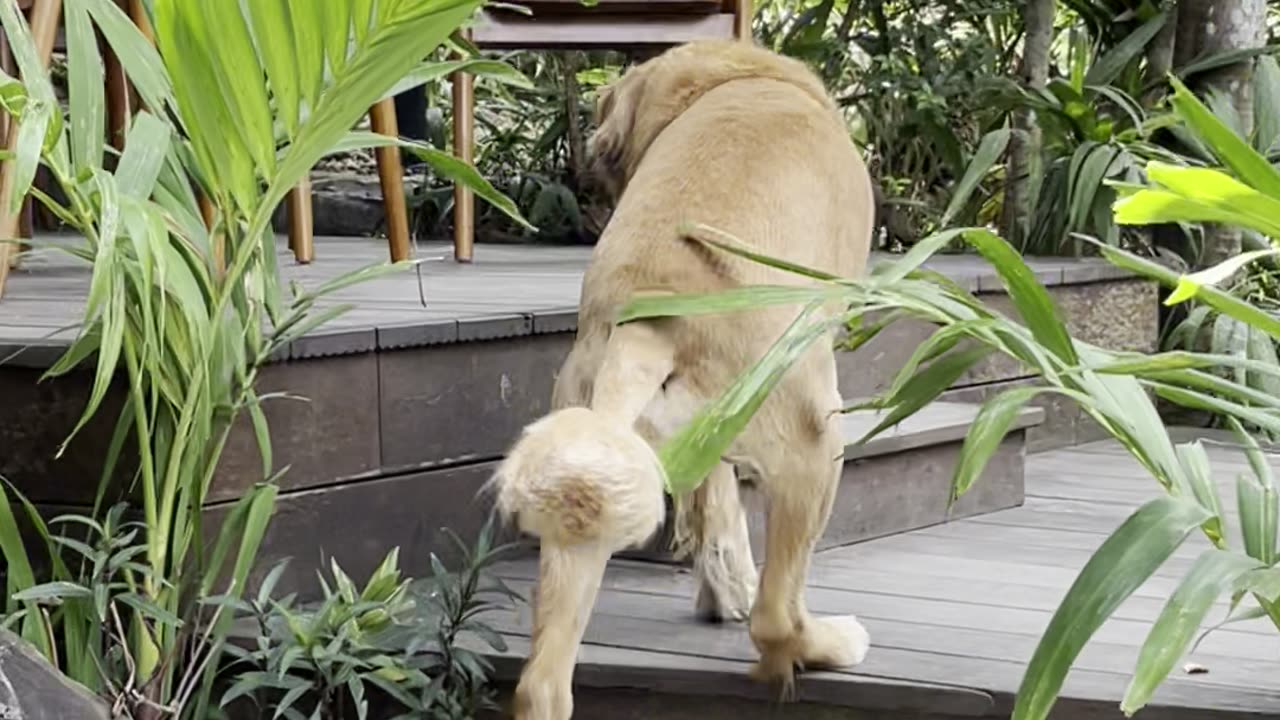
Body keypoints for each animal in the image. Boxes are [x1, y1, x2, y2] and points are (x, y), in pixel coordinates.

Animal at [488, 39, 880, 717]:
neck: (732, 78)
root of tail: (652, 314)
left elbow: (717, 520)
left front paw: (722, 590)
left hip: (584, 500)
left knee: (542, 681)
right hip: (818, 442)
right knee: (777, 618)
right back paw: (828, 642)